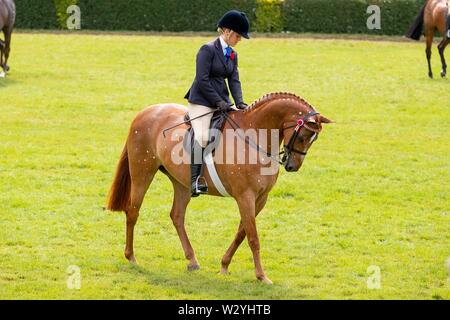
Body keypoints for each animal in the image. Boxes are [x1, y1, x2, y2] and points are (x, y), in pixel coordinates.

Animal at [105, 91, 330, 284]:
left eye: (313, 139)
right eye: (303, 136)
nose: (292, 166)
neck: (255, 136)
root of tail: (144, 112)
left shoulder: (260, 198)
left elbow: (242, 233)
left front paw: (224, 265)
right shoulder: (245, 196)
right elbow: (253, 237)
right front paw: (261, 276)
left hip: (181, 183)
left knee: (177, 216)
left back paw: (192, 260)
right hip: (142, 173)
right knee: (133, 211)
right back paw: (131, 257)